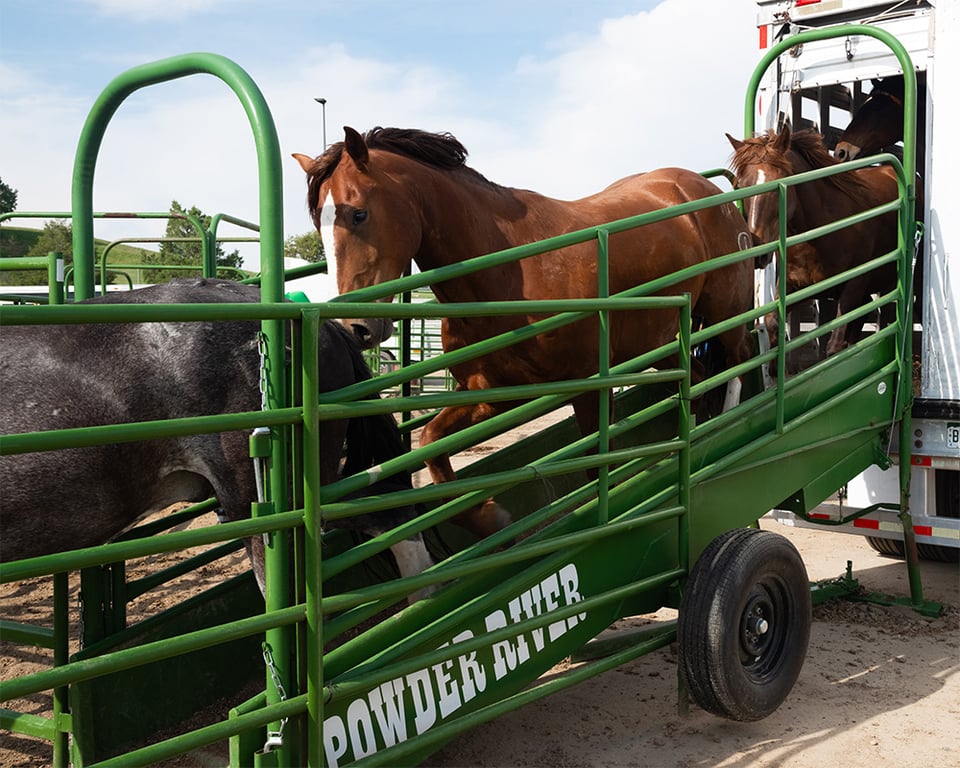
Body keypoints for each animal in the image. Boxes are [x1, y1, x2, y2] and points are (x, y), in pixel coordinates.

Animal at [293, 127, 755, 539]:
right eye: (319, 224)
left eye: (358, 213)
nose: (356, 328)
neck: (507, 268)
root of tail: (705, 192)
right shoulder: (491, 393)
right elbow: (429, 444)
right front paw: (488, 519)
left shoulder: (589, 385)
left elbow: (595, 461)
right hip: (663, 343)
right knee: (698, 381)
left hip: (727, 316)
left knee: (742, 362)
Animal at [726, 125, 899, 363]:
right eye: (743, 186)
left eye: (778, 183)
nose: (758, 251)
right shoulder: (796, 286)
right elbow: (773, 325)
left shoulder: (853, 286)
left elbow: (835, 347)